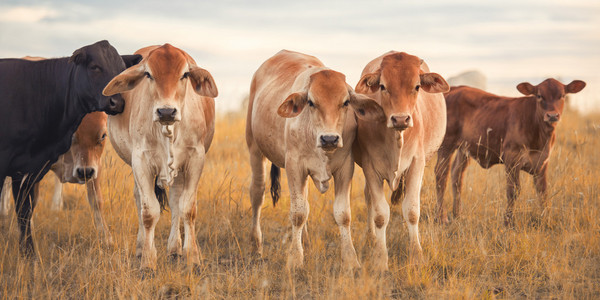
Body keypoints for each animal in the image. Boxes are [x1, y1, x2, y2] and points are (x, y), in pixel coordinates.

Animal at [0, 39, 142, 255]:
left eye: (103, 136)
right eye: (94, 67)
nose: (83, 172)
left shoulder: (94, 165)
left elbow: (96, 200)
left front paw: (106, 239)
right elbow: (28, 207)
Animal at [102, 43, 218, 276]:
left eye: (184, 74)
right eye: (148, 74)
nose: (166, 111)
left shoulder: (195, 159)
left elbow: (187, 209)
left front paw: (193, 258)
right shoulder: (141, 161)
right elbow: (148, 213)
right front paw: (148, 262)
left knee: (175, 202)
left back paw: (175, 249)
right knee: (139, 199)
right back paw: (141, 248)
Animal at [247, 49, 384, 270]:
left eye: (345, 102)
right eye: (311, 102)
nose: (329, 138)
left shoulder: (345, 168)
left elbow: (343, 214)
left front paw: (350, 259)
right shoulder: (294, 166)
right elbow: (298, 214)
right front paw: (295, 259)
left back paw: (306, 242)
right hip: (254, 148)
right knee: (257, 193)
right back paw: (255, 245)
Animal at [354, 50, 448, 270]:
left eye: (417, 86)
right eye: (382, 86)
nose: (400, 119)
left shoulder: (417, 164)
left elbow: (412, 211)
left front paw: (416, 254)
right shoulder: (370, 168)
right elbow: (380, 214)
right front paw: (381, 259)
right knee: (369, 200)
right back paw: (370, 237)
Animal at [436, 78, 584, 226]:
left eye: (562, 95)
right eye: (539, 96)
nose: (552, 115)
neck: (539, 136)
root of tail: (455, 88)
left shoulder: (542, 161)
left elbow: (543, 191)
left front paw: (546, 220)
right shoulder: (512, 159)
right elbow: (513, 191)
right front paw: (508, 221)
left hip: (464, 148)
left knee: (457, 175)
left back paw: (458, 215)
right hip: (446, 144)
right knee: (441, 174)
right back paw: (441, 217)